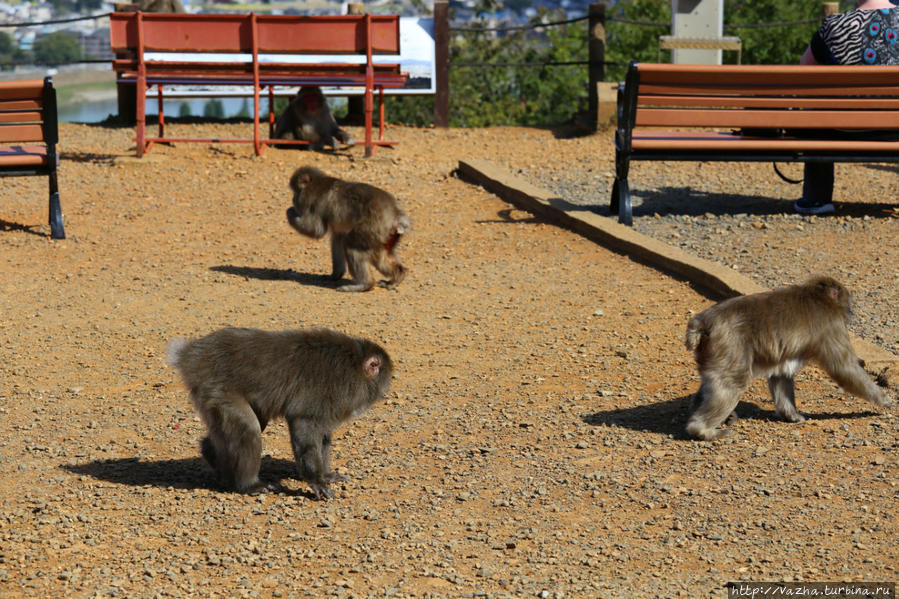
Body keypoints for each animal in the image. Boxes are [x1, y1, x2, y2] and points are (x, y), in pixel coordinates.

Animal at [108, 12, 412, 157]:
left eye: (315, 98)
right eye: (307, 99)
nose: (312, 102)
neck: (312, 109)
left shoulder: (323, 110)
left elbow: (332, 126)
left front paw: (344, 136)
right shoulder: (300, 113)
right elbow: (305, 129)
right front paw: (326, 141)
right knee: (291, 136)